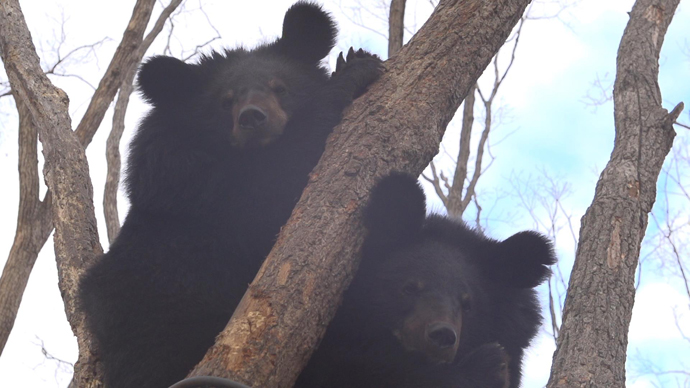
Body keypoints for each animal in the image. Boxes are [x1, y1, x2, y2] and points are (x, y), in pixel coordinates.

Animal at [80, 3, 382, 388]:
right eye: (226, 102)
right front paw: (354, 70)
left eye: (280, 87)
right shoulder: (195, 186)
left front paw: (356, 58)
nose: (253, 118)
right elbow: (283, 176)